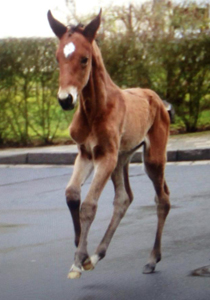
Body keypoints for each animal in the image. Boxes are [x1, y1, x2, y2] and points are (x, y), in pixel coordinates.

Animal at [47, 9, 171, 278]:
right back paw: (96, 256)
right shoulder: (85, 154)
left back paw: (152, 259)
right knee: (124, 199)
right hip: (122, 158)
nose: (65, 100)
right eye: (57, 58)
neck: (95, 111)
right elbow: (72, 194)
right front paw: (79, 247)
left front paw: (78, 259)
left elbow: (89, 205)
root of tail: (157, 98)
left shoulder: (106, 156)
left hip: (152, 158)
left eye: (84, 59)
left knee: (163, 200)